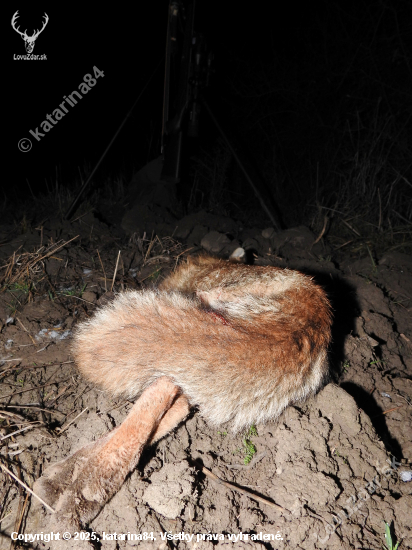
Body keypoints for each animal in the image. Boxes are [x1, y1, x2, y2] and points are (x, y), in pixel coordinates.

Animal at [34, 258, 332, 536]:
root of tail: (314, 308)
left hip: (209, 300)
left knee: (151, 409)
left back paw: (83, 491)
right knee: (167, 403)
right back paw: (69, 477)